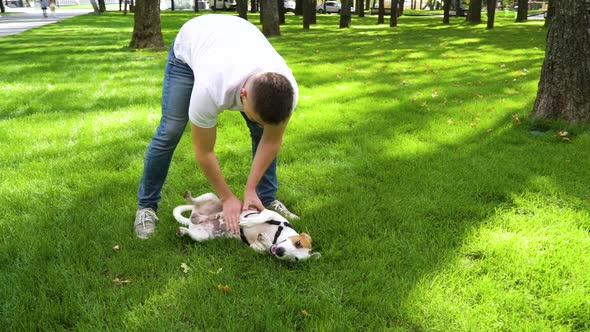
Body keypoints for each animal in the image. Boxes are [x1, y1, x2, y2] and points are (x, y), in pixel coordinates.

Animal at [172, 192, 320, 262]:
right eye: (298, 242)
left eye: (295, 259)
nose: (280, 252)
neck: (276, 236)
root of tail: (192, 220)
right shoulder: (268, 212)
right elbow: (262, 216)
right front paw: (246, 222)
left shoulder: (254, 246)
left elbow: (262, 249)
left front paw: (264, 241)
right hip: (211, 196)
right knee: (196, 201)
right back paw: (190, 199)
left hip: (203, 236)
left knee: (191, 232)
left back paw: (183, 230)